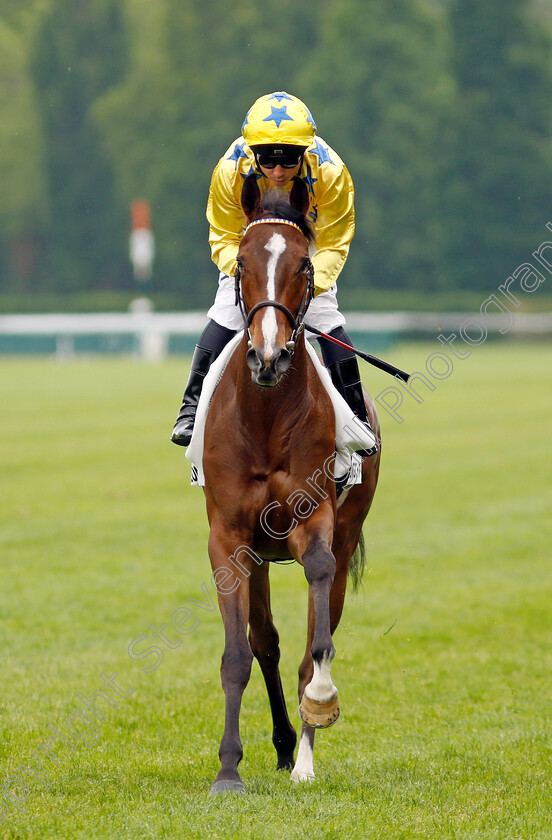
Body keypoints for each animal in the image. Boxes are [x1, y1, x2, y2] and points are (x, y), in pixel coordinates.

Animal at [201, 172, 382, 796]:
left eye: (304, 265)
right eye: (242, 263)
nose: (269, 356)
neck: (266, 416)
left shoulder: (316, 521)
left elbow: (317, 639)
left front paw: (320, 707)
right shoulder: (229, 538)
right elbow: (238, 654)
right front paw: (228, 770)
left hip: (347, 530)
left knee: (307, 637)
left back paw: (300, 754)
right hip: (258, 556)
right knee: (267, 644)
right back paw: (281, 745)